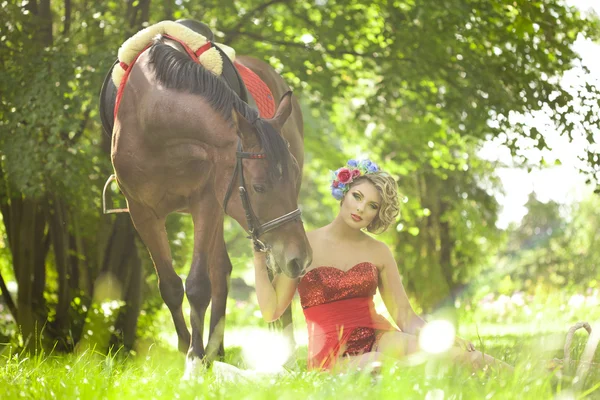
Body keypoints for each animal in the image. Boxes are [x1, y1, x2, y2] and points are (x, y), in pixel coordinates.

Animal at [101, 23, 312, 364]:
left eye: (294, 178)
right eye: (259, 186)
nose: (301, 257)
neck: (153, 117)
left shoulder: (208, 201)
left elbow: (199, 284)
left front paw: (195, 356)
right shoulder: (142, 212)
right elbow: (170, 285)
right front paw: (187, 348)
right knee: (224, 270)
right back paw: (217, 350)